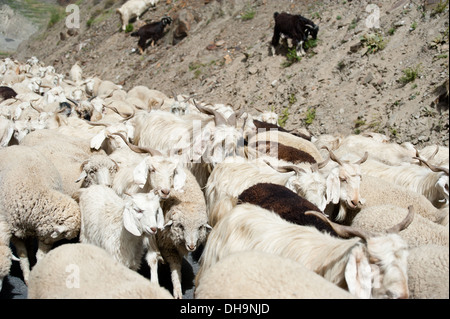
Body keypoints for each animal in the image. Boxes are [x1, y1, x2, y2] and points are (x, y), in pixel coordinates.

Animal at [0, 146, 80, 286]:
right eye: (64, 235)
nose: (48, 242)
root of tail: (15, 146)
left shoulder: (43, 230)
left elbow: (41, 255)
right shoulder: (15, 233)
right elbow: (22, 255)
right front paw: (27, 276)